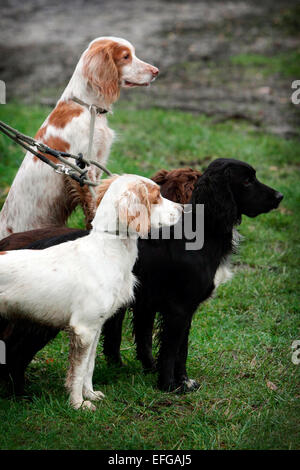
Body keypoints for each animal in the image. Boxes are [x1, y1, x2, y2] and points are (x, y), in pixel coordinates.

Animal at [0, 160, 282, 394]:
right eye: (247, 181)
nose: (280, 196)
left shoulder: (171, 308)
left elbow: (179, 349)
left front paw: (183, 381)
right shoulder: (177, 309)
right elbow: (170, 350)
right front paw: (169, 386)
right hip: (41, 318)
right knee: (14, 350)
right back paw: (19, 393)